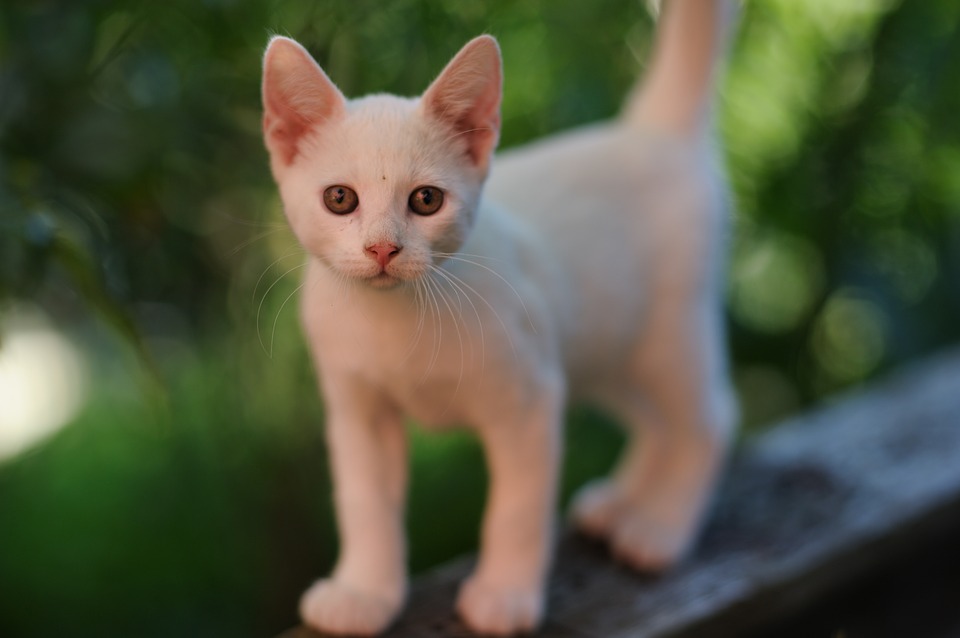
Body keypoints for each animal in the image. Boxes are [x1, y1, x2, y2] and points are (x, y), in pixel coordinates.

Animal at [260, 2, 736, 636]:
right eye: (340, 199)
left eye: (426, 200)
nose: (382, 248)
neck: (397, 318)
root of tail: (648, 131)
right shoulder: (358, 412)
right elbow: (366, 504)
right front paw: (365, 594)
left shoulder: (530, 399)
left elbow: (516, 509)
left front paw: (504, 595)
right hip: (609, 347)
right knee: (657, 420)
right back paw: (623, 503)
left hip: (668, 333)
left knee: (709, 418)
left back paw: (658, 528)